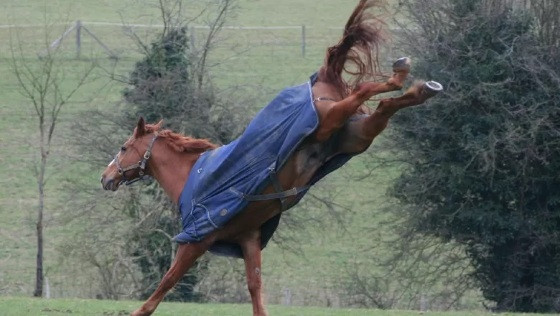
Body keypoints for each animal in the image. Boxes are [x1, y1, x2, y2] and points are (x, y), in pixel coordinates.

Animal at [100, 1, 442, 314]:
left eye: (124, 147)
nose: (105, 177)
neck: (192, 176)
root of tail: (322, 76)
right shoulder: (249, 239)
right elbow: (255, 288)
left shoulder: (196, 241)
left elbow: (166, 282)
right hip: (356, 137)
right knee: (384, 107)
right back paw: (421, 88)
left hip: (331, 118)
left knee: (366, 90)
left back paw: (401, 75)